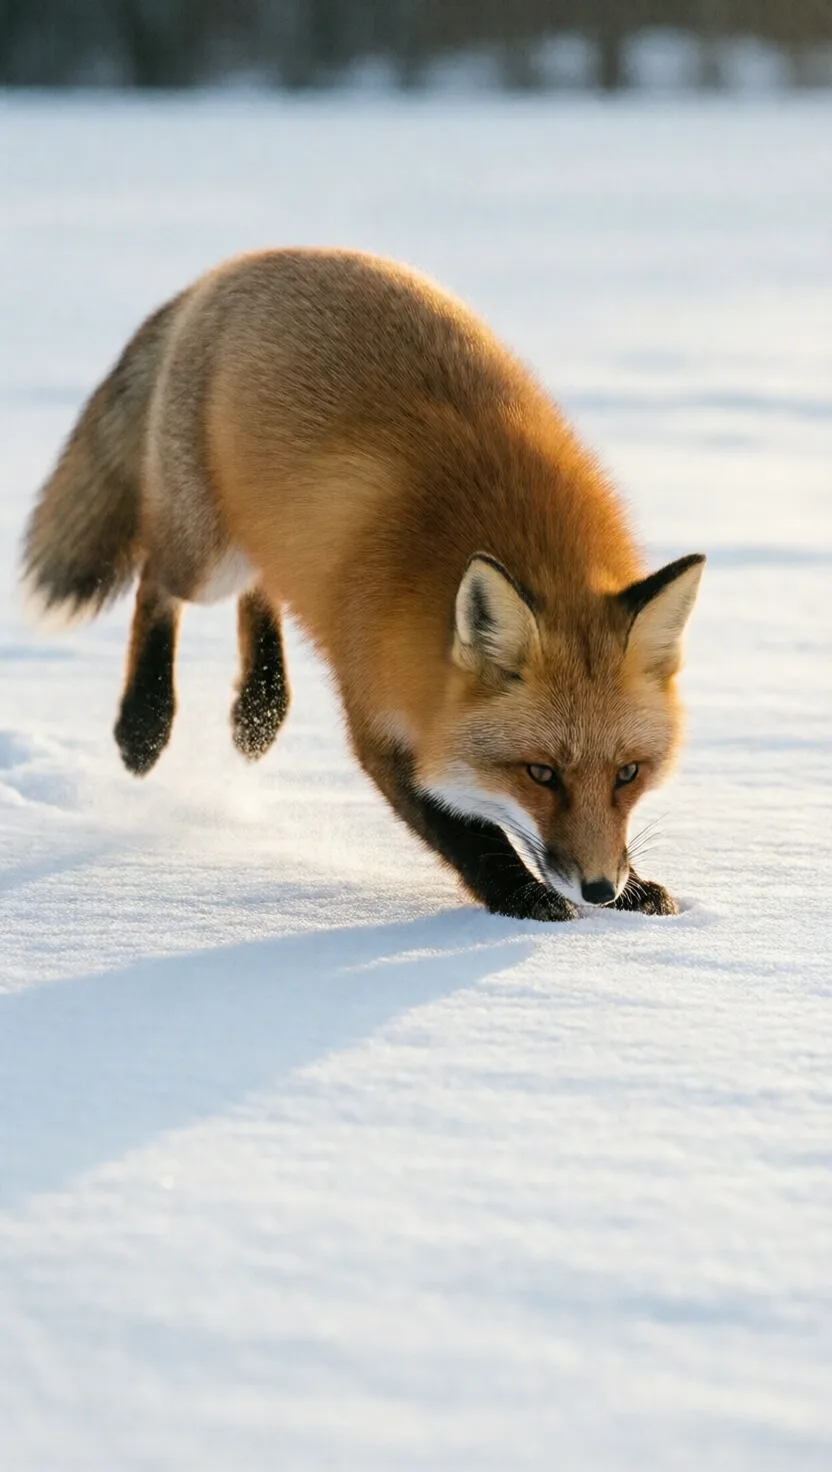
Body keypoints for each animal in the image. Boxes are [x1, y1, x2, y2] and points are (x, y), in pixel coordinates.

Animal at [22, 248, 704, 922]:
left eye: (628, 773)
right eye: (540, 773)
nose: (599, 889)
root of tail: (236, 265)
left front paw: (637, 888)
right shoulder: (378, 717)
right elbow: (466, 831)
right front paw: (524, 897)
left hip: (269, 536)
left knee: (263, 587)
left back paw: (260, 708)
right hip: (209, 560)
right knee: (156, 581)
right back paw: (145, 723)